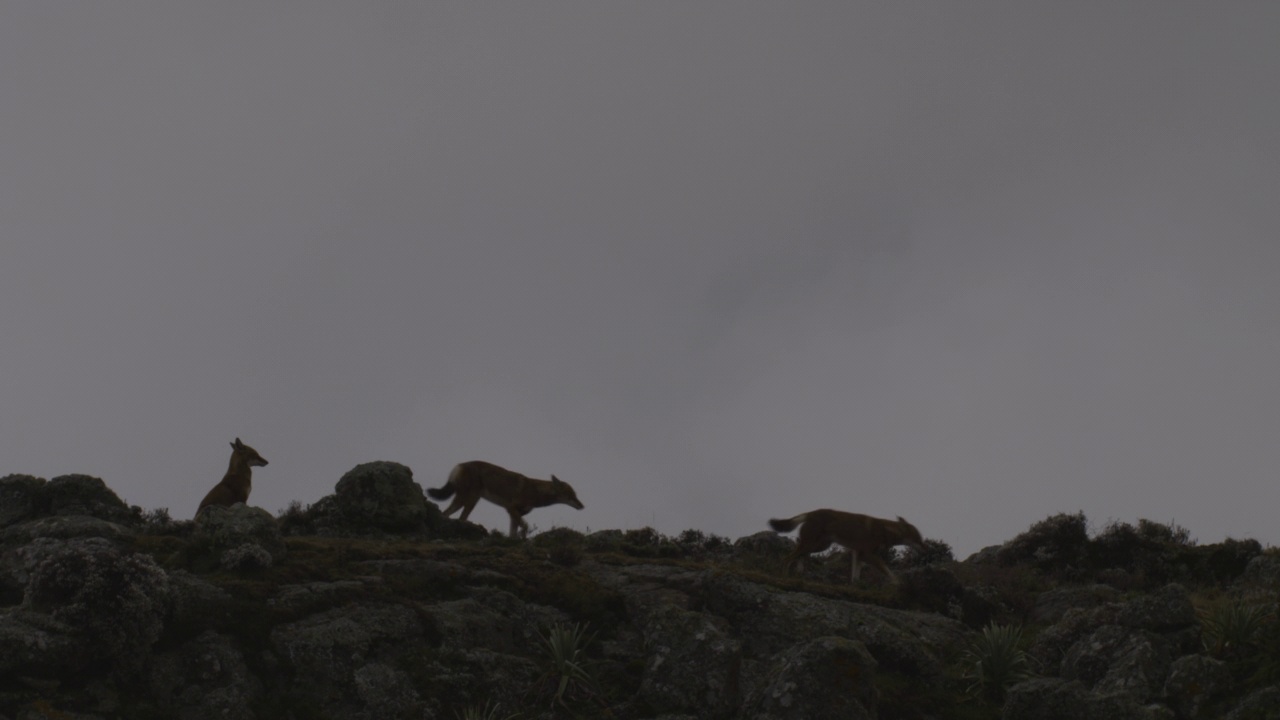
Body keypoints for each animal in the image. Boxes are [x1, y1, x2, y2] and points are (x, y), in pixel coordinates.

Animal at [430, 461, 588, 535]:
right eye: (571, 495)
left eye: (575, 495)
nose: (582, 506)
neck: (535, 492)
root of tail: (460, 465)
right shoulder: (510, 508)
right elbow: (525, 527)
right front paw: (523, 536)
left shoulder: (515, 514)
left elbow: (513, 532)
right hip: (469, 500)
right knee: (454, 516)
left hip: (468, 501)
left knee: (448, 514)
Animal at [768, 507, 921, 579]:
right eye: (918, 538)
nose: (925, 547)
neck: (884, 530)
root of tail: (811, 512)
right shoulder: (866, 554)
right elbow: (889, 572)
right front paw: (898, 583)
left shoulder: (858, 553)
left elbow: (855, 577)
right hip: (812, 544)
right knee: (787, 558)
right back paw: (784, 576)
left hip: (819, 546)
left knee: (800, 555)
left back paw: (798, 573)